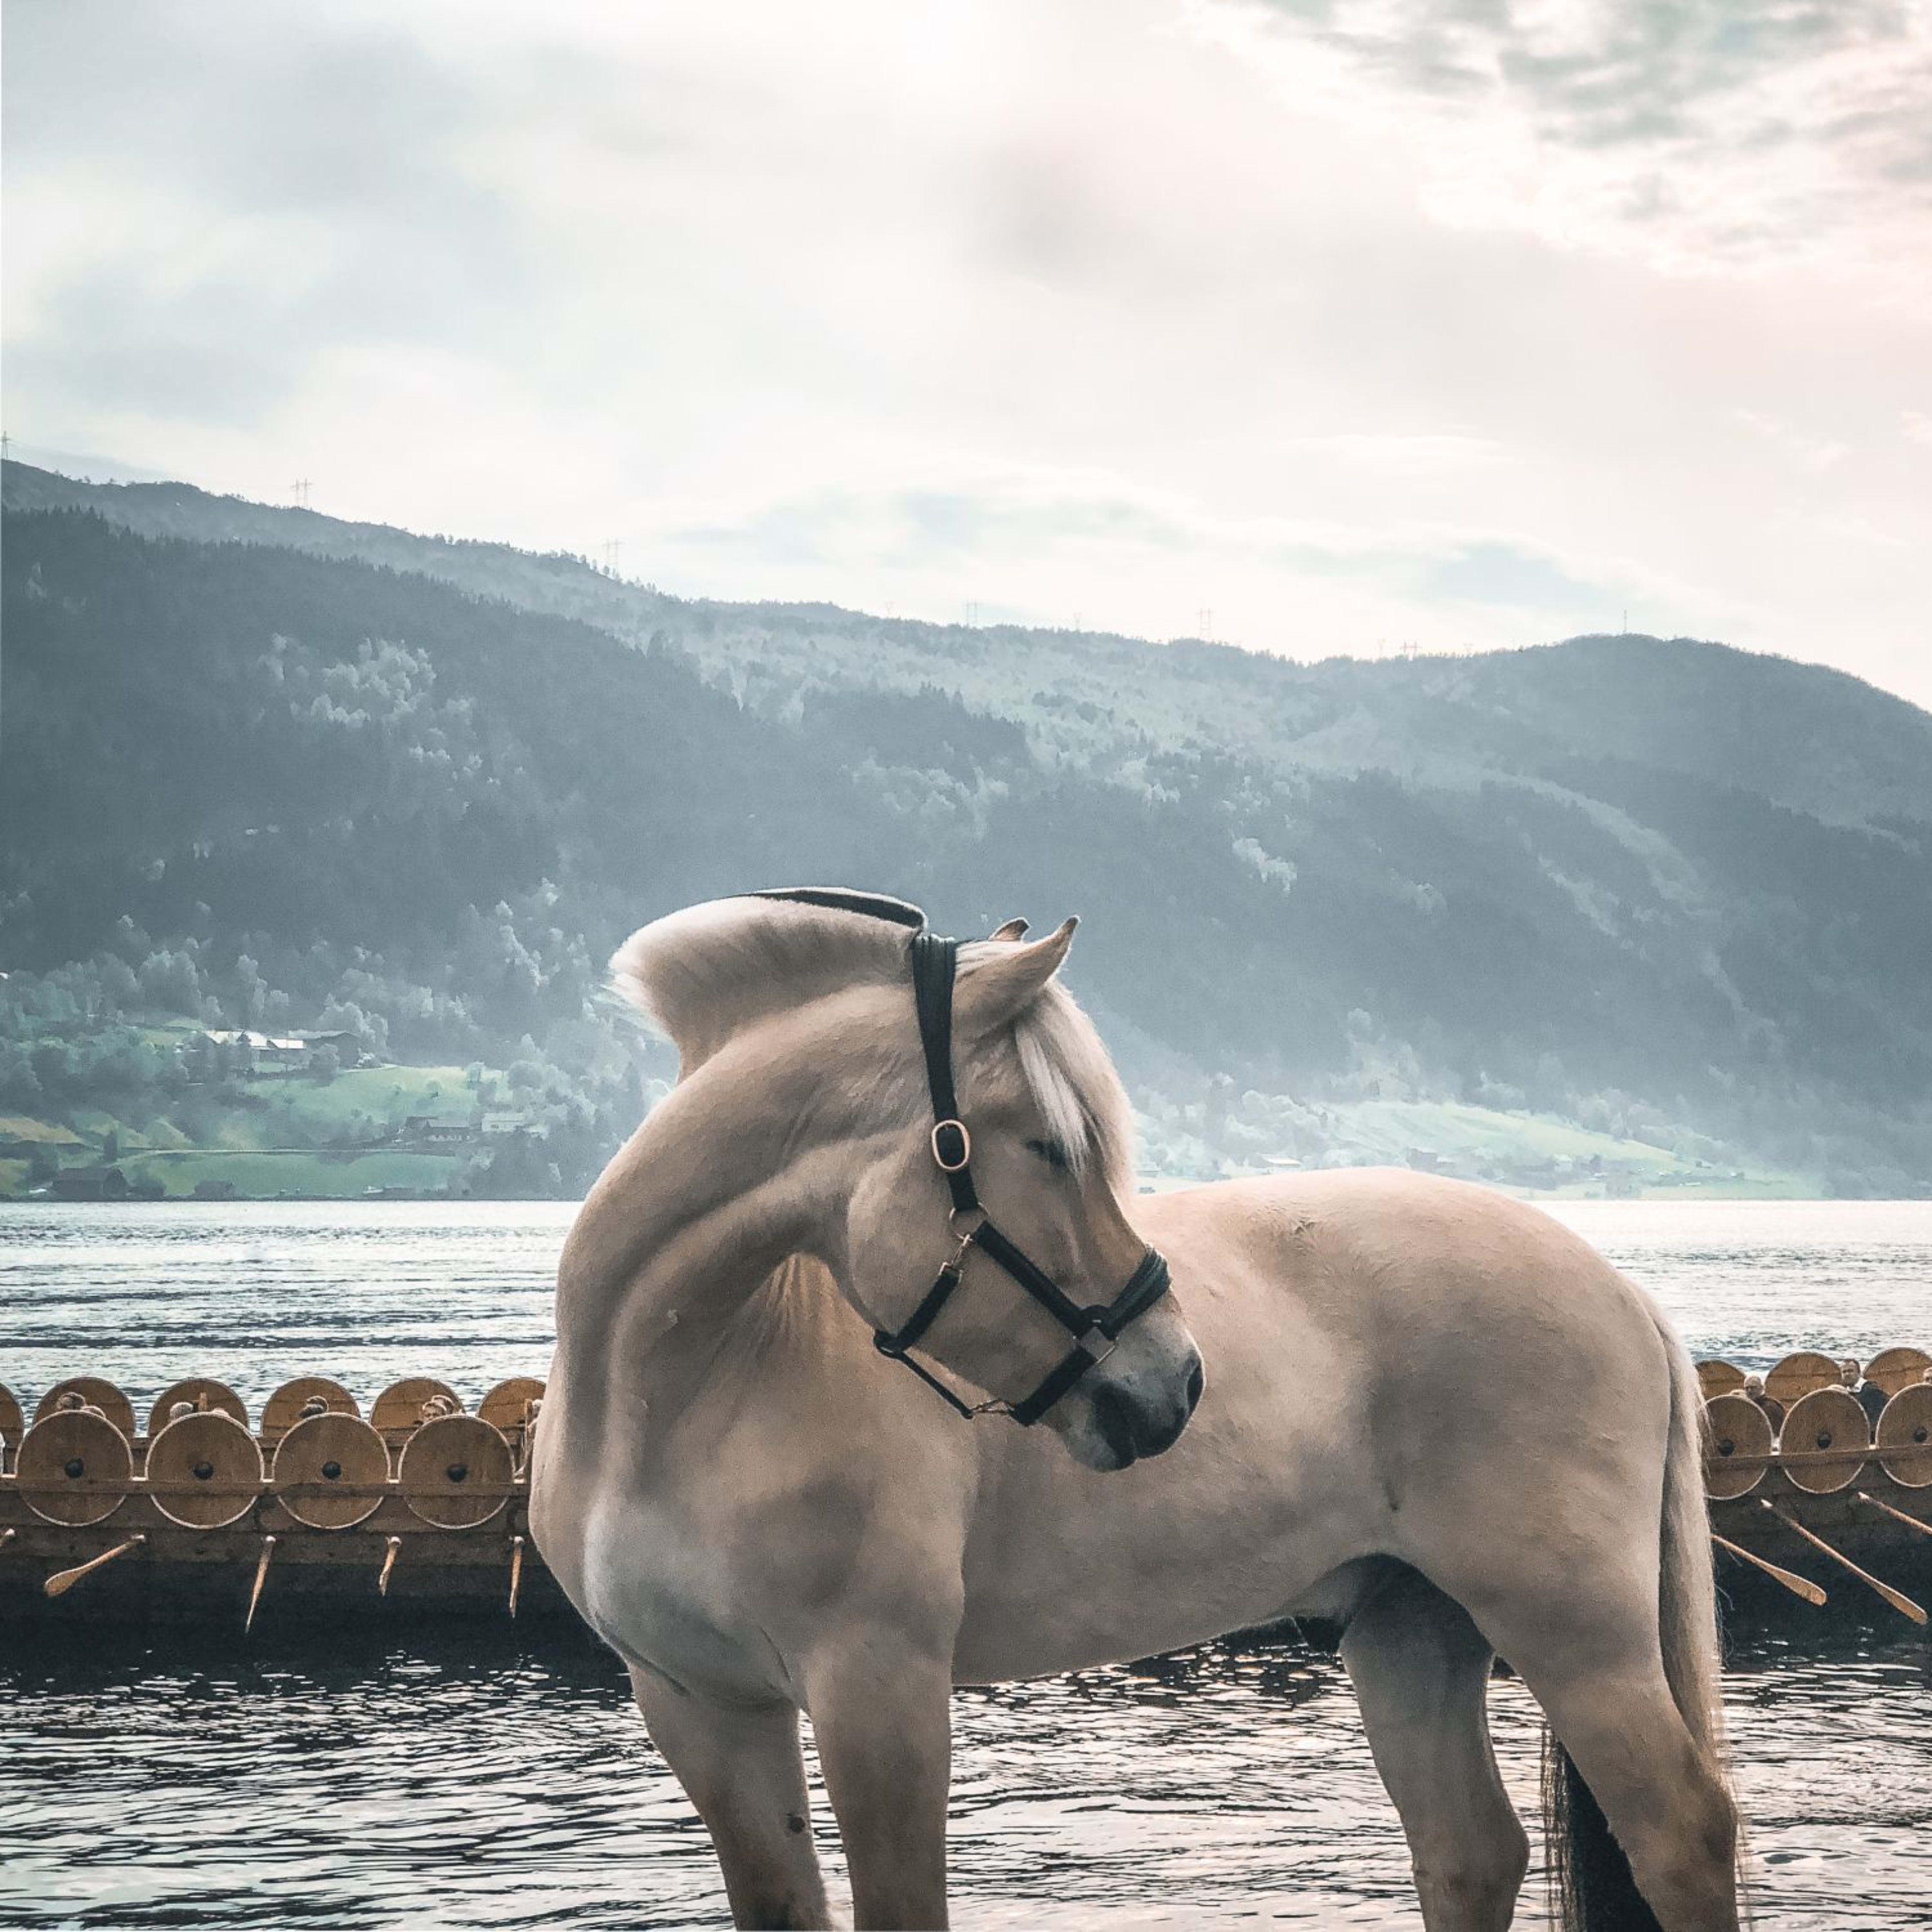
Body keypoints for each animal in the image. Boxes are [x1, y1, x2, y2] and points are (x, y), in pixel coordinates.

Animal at [530, 890, 1741, 1931]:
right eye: (1051, 1147)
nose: (1175, 1384)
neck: (672, 1399)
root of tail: (1621, 1288)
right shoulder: (703, 1709)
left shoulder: (880, 1693)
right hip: (1412, 1627)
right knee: (1470, 1851)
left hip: (1577, 1635)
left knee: (1683, 1835)